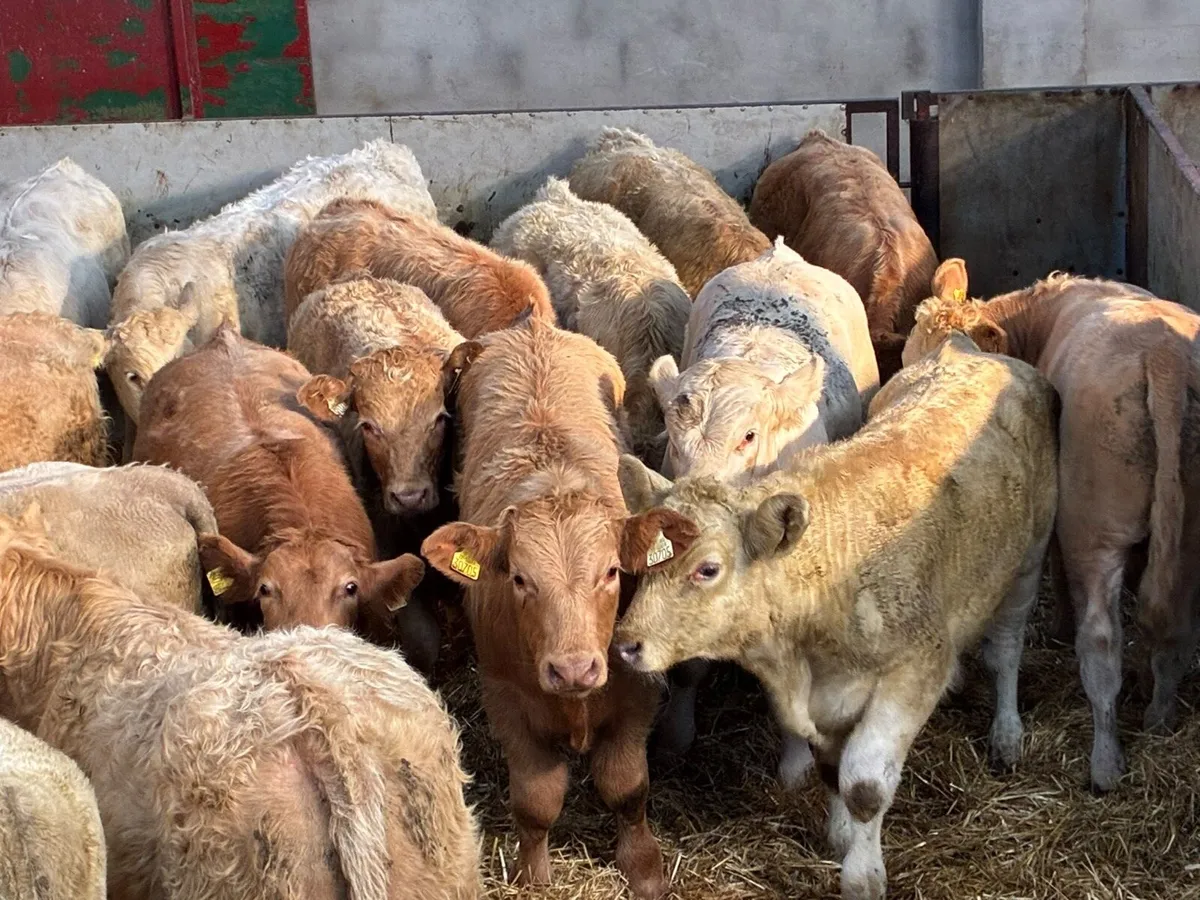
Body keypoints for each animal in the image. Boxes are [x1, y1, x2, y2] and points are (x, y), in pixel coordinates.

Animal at [420, 318, 666, 898]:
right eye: (519, 578)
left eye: (611, 572)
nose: (573, 668)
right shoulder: (506, 701)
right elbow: (536, 802)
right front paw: (533, 875)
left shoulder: (637, 693)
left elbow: (627, 787)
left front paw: (644, 868)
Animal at [612, 326, 1057, 900]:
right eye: (644, 559)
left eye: (708, 569)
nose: (627, 643)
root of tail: (972, 351)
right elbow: (832, 772)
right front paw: (841, 834)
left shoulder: (913, 670)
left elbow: (864, 784)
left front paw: (863, 875)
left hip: (1029, 557)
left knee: (1006, 650)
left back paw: (1007, 732)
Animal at [904, 259, 1200, 792]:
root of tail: (1166, 354)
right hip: (1188, 532)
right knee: (1177, 626)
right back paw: (1159, 719)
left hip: (1092, 528)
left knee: (1101, 644)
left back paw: (1105, 764)